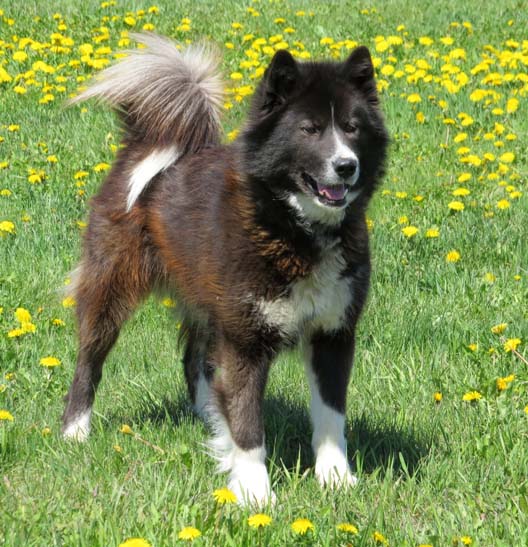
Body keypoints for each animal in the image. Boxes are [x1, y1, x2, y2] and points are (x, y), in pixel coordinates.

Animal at [63, 33, 388, 506]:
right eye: (309, 129)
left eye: (352, 127)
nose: (346, 166)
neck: (290, 226)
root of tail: (149, 144)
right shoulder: (246, 339)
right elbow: (250, 425)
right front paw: (255, 494)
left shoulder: (333, 334)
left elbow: (331, 416)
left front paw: (335, 478)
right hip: (111, 287)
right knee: (90, 361)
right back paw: (74, 430)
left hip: (207, 303)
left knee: (195, 361)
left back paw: (210, 418)